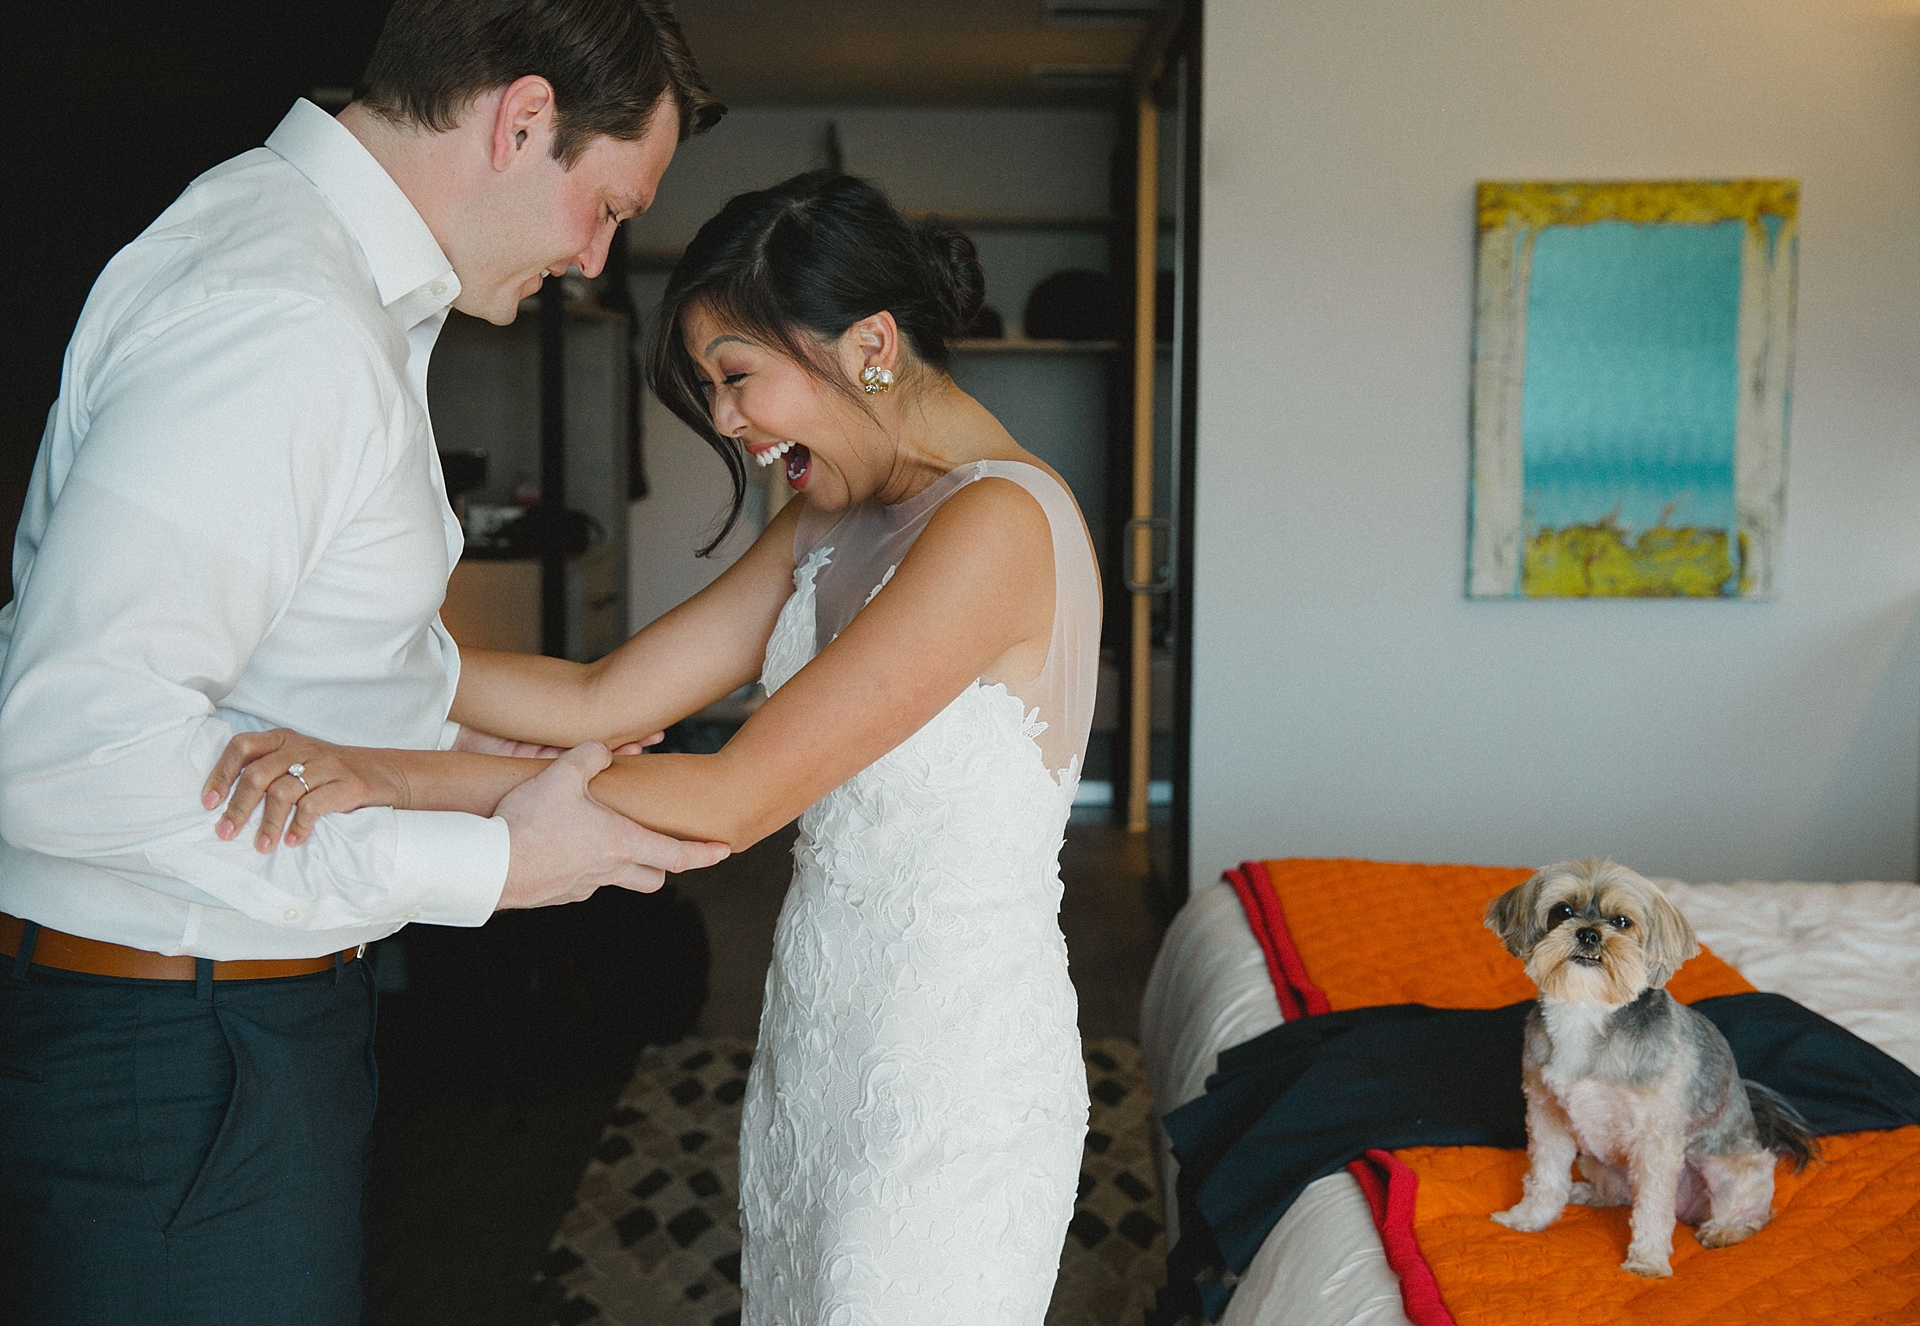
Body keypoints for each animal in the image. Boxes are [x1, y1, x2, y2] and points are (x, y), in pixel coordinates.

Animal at [1482, 859, 1812, 1274]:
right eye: (1563, 911)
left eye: (1622, 921)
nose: (1589, 934)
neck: (1587, 1013)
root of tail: (1690, 1212)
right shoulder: (1547, 1115)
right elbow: (1545, 1176)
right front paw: (1529, 1218)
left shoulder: (1655, 1140)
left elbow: (1653, 1208)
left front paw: (1648, 1261)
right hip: (1596, 1160)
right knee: (1618, 1194)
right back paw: (1588, 1192)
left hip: (1727, 1167)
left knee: (1754, 1212)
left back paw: (1725, 1231)